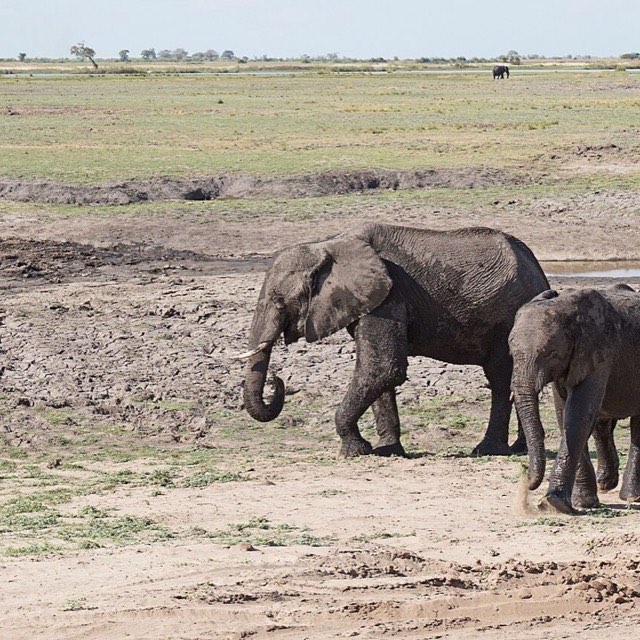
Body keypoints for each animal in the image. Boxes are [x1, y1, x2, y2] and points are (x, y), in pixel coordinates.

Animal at [239, 222, 549, 458]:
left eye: (279, 301)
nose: (277, 379)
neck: (329, 244)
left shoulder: (390, 297)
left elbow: (382, 368)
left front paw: (356, 450)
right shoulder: (370, 301)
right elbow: (378, 373)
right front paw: (387, 451)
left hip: (508, 317)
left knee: (499, 377)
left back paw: (488, 450)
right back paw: (520, 449)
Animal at [509, 285, 640, 514]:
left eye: (550, 353)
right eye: (510, 350)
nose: (524, 470)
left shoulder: (599, 352)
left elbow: (578, 415)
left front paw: (554, 503)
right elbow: (565, 415)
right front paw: (582, 503)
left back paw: (631, 496)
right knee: (601, 424)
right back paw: (606, 485)